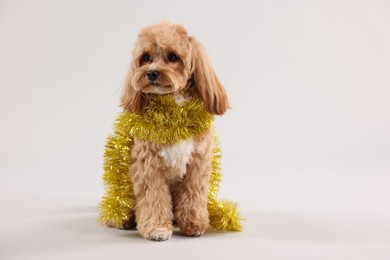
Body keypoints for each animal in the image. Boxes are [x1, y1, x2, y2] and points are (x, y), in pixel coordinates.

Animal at [110, 21, 229, 241]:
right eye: (145, 57)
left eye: (173, 57)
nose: (151, 73)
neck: (174, 112)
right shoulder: (149, 167)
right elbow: (154, 200)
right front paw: (156, 228)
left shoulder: (197, 166)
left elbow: (192, 197)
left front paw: (194, 224)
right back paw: (123, 220)